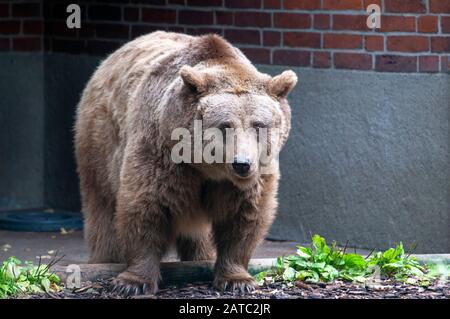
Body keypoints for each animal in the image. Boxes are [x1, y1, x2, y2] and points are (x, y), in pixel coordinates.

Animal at [75, 31, 298, 296]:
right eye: (225, 125)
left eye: (258, 125)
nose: (242, 164)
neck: (206, 168)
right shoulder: (161, 153)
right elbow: (145, 208)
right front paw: (133, 282)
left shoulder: (248, 180)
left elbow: (243, 217)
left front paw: (237, 279)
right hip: (100, 140)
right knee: (102, 205)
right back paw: (104, 259)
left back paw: (201, 257)